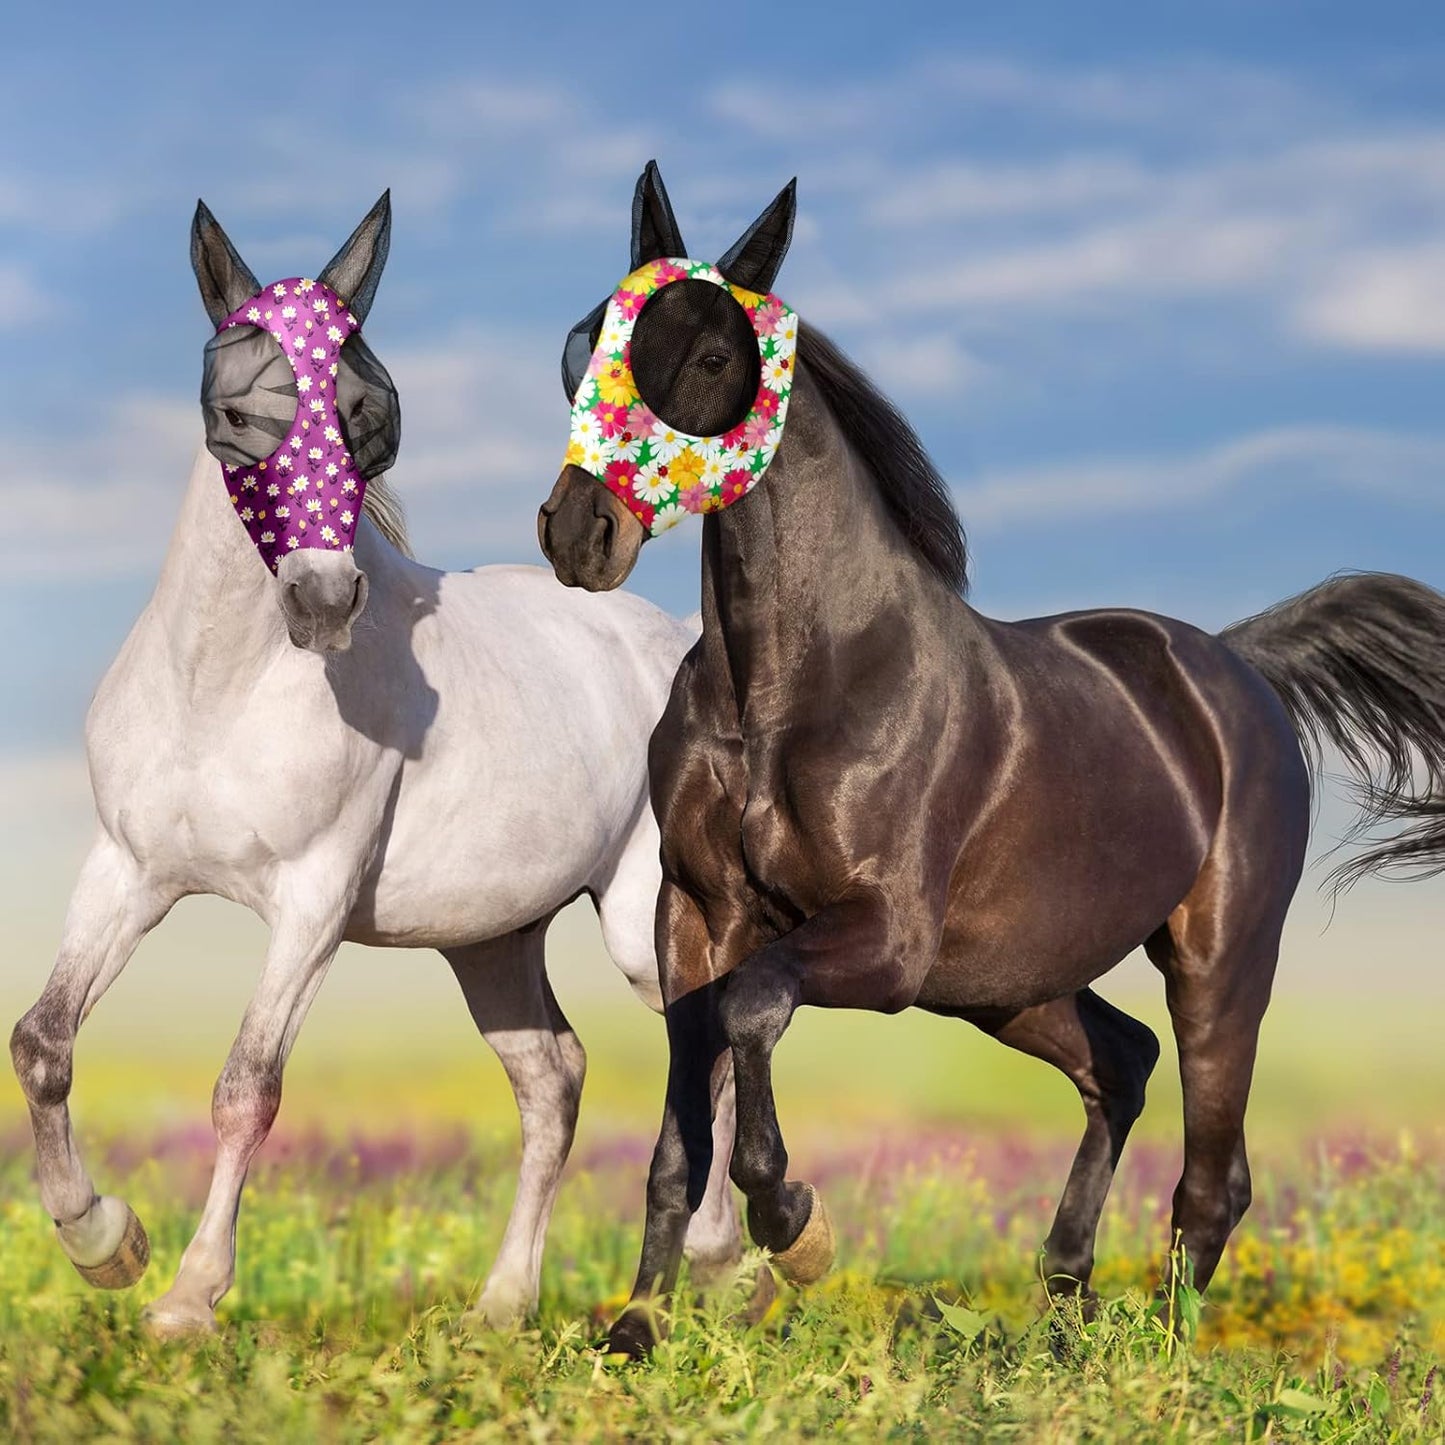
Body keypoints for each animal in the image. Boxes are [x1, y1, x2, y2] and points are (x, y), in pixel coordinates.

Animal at [8, 192, 740, 1338]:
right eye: (233, 412)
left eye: (370, 412)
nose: (321, 600)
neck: (220, 690)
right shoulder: (129, 870)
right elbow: (43, 1041)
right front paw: (105, 1241)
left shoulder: (311, 900)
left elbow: (248, 1085)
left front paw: (188, 1294)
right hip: (490, 939)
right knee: (552, 1076)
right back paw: (502, 1302)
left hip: (639, 923)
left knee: (706, 1041)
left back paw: (723, 1258)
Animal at [536, 162, 1445, 1358]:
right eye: (581, 341)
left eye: (711, 358)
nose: (577, 534)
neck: (789, 686)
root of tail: (1235, 665)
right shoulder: (696, 919)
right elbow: (681, 1133)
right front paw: (637, 1331)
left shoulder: (882, 939)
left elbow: (754, 1013)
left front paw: (797, 1226)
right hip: (1002, 982)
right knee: (1120, 1061)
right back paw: (1061, 1302)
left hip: (1215, 959)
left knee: (1214, 1173)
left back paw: (1155, 1352)